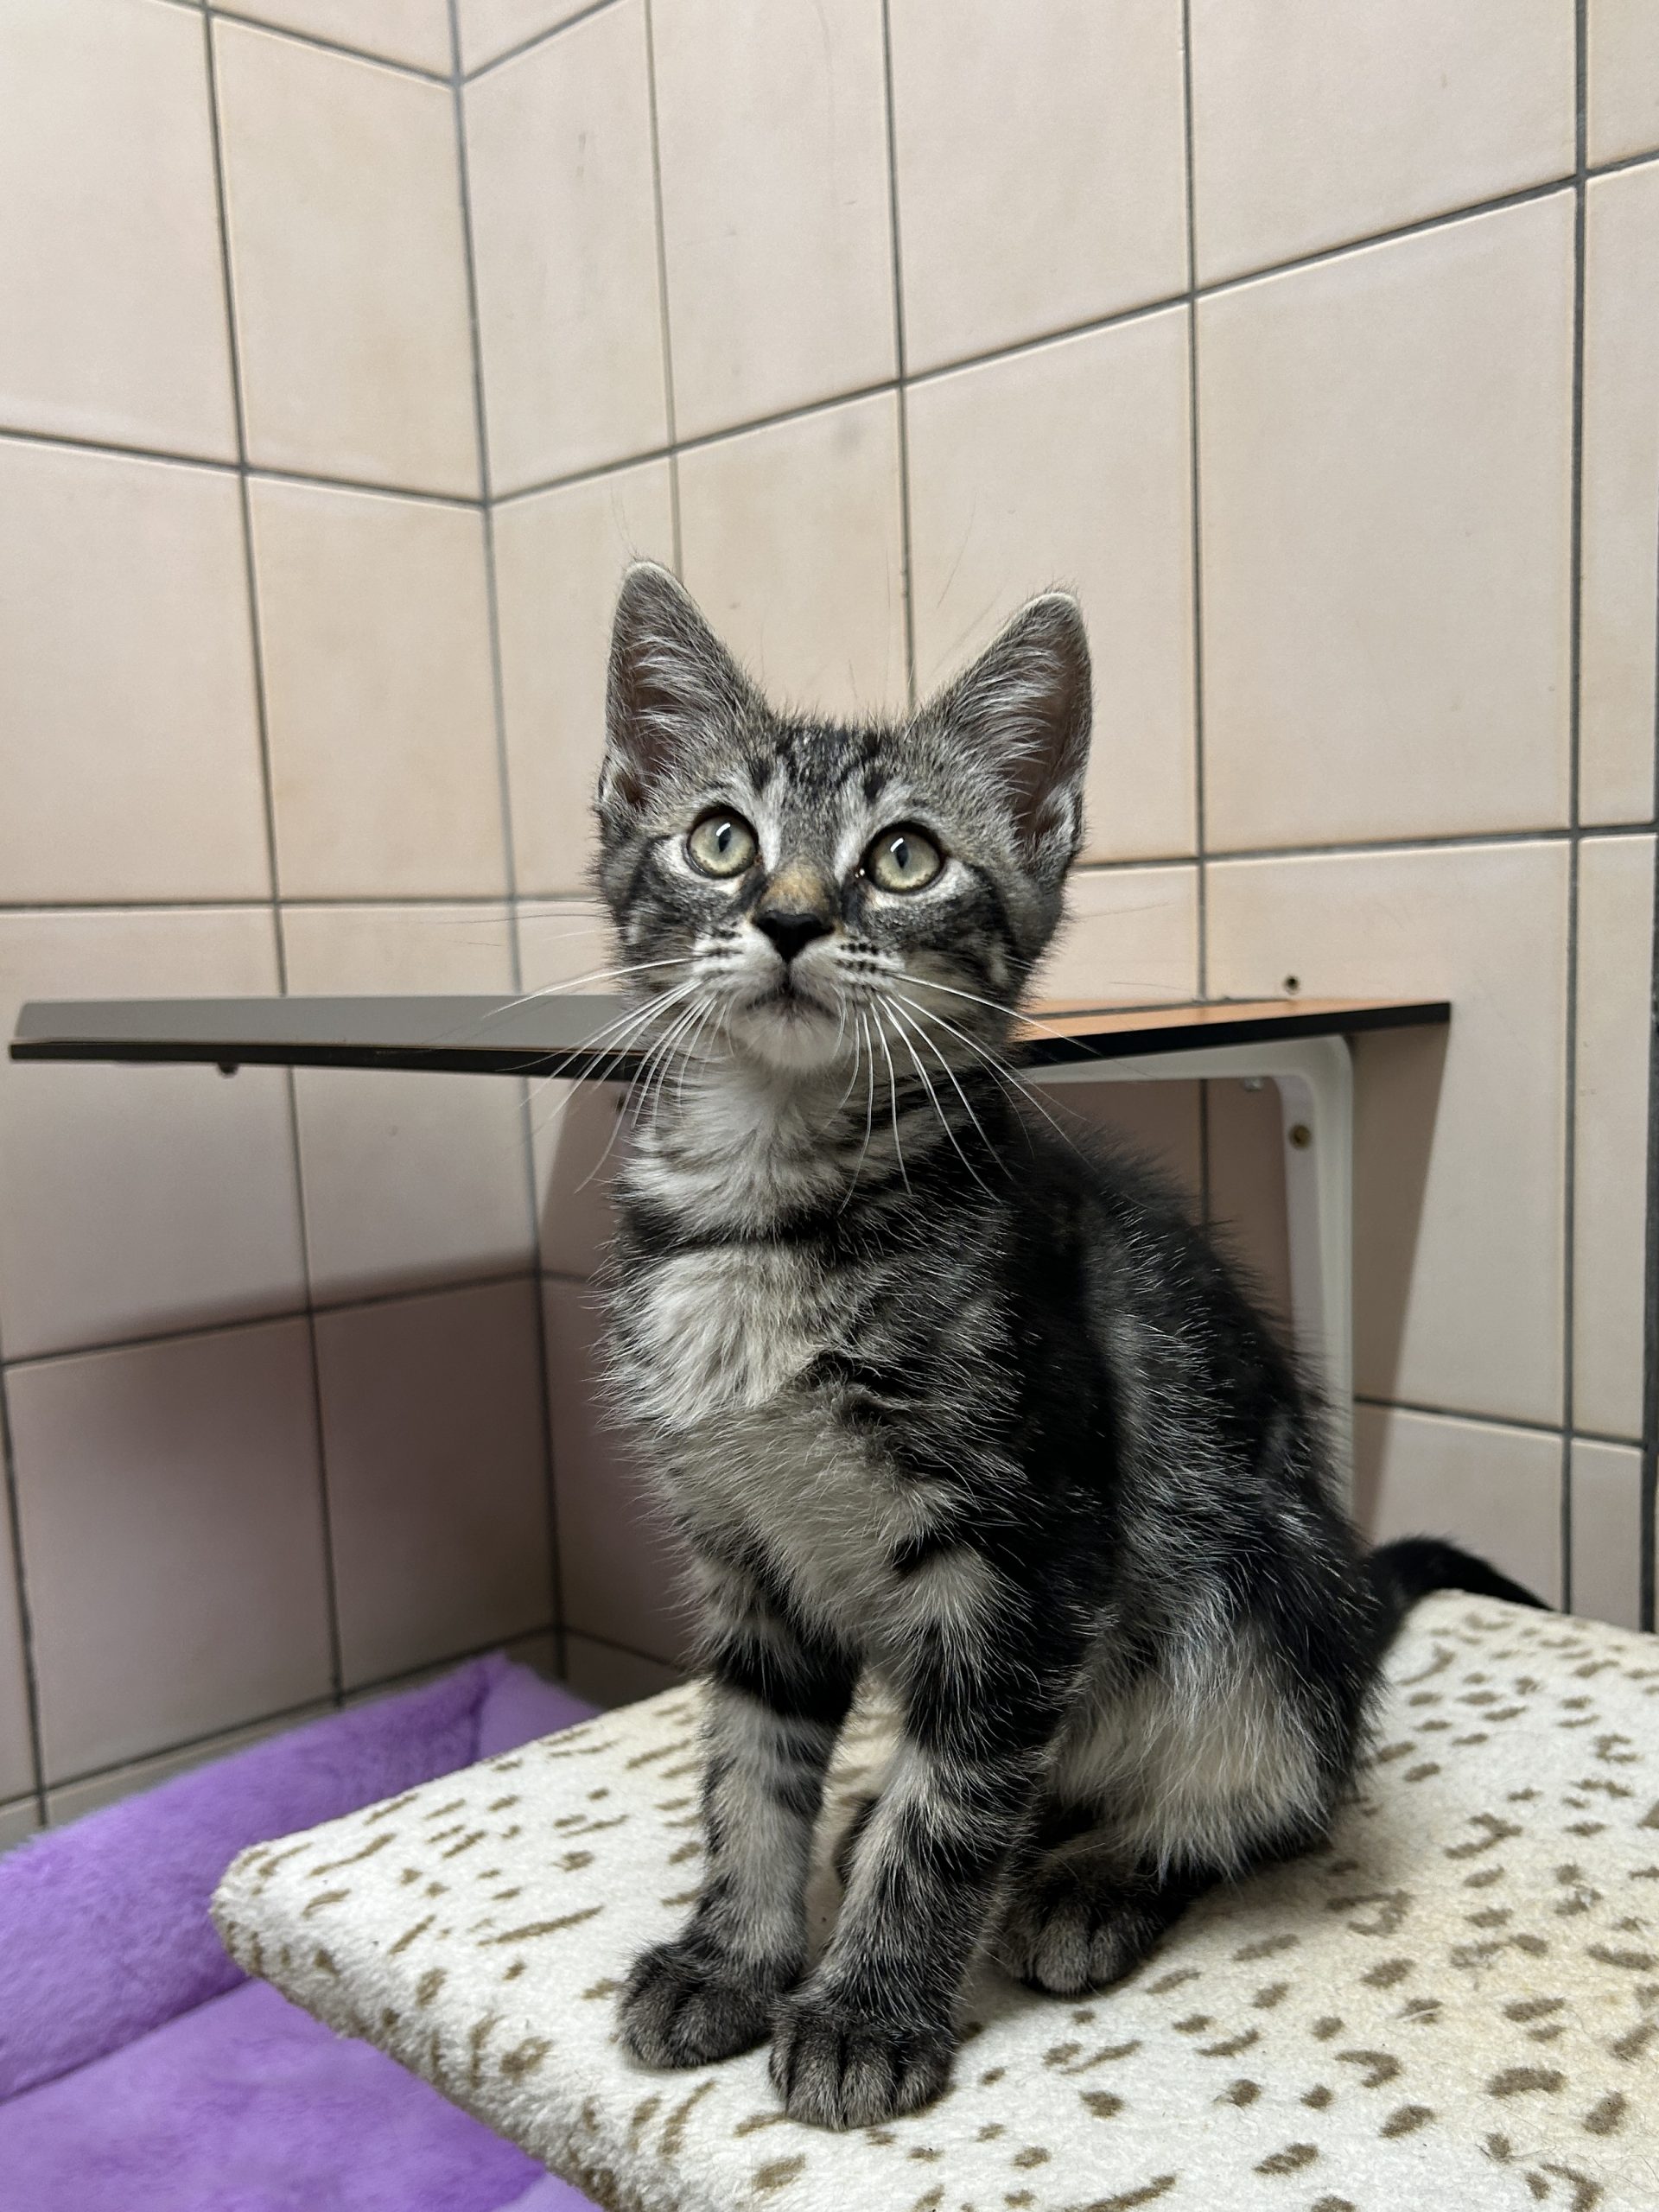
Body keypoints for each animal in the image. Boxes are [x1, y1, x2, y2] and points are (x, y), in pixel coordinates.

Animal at [592, 560, 1543, 2131]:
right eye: (720, 839)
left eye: (905, 859)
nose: (786, 917)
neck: (773, 1212)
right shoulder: (745, 1557)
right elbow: (750, 1764)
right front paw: (733, 1954)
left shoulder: (1035, 1552)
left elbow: (958, 1803)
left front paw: (868, 2008)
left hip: (1260, 1602)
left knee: (1265, 1798)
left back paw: (1104, 1879)